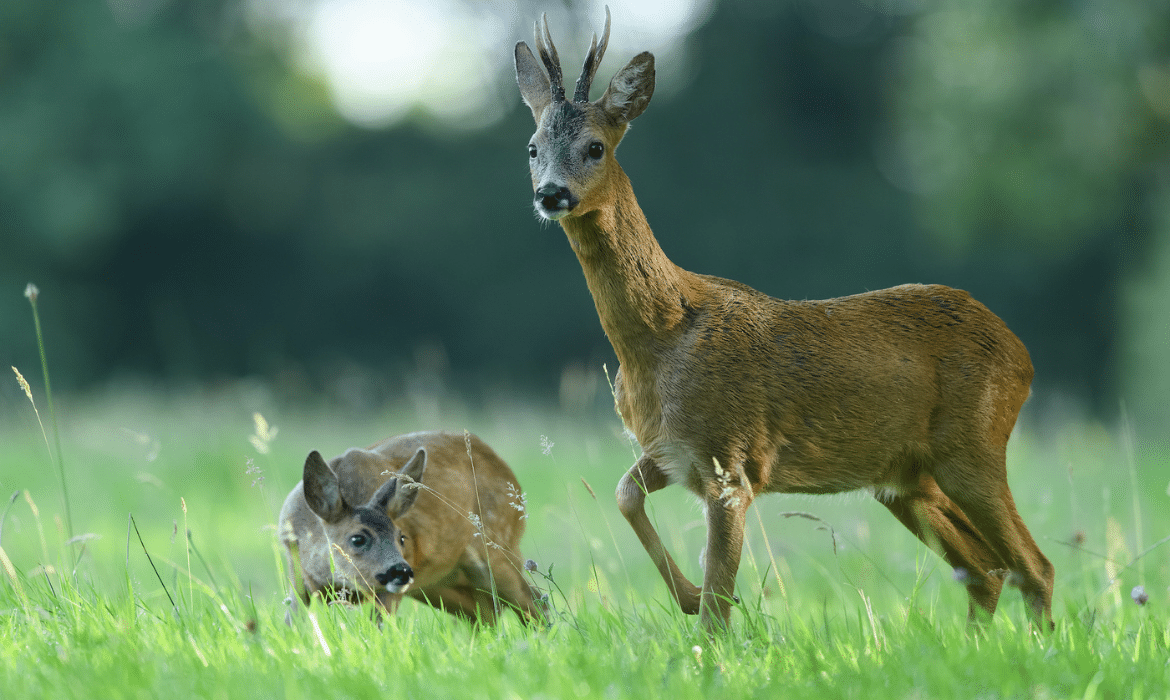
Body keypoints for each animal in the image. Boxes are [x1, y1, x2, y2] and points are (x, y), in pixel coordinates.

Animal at [280, 430, 540, 627]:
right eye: (357, 539)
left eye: (401, 538)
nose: (401, 571)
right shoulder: (297, 576)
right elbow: (291, 625)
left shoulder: (392, 590)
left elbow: (379, 628)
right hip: (443, 583)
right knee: (485, 614)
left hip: (496, 549)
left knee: (534, 601)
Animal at [512, 9, 1053, 636]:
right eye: (532, 147)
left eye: (595, 146)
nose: (552, 194)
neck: (659, 342)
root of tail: (1022, 353)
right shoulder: (672, 450)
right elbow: (625, 494)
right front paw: (685, 594)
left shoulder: (731, 462)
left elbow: (719, 606)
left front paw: (703, 619)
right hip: (905, 480)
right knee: (987, 569)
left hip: (973, 446)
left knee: (1033, 566)